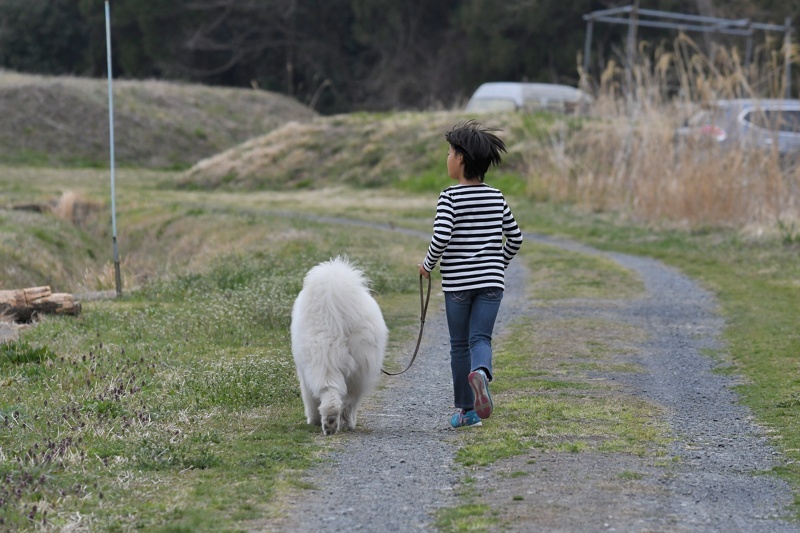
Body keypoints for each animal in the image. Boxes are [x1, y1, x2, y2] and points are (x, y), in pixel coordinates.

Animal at [290, 256, 388, 434]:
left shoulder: (304, 376)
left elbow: (310, 399)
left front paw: (312, 419)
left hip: (328, 362)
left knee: (337, 396)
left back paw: (336, 422)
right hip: (352, 365)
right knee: (344, 398)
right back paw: (339, 422)